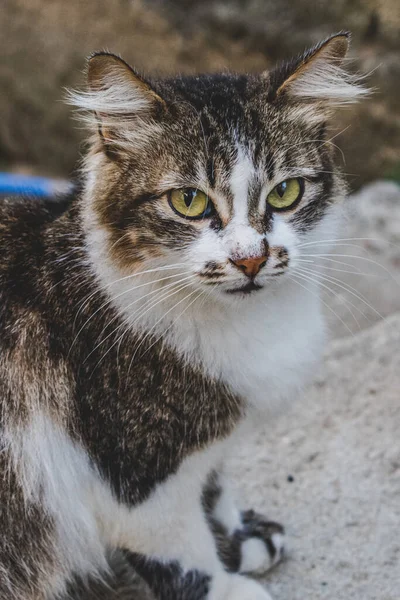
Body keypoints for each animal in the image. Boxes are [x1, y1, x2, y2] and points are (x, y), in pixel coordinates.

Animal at [0, 32, 368, 600]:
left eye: (285, 192)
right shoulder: (137, 472)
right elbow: (179, 547)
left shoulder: (204, 448)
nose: (251, 259)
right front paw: (227, 587)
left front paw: (239, 541)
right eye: (189, 201)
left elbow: (213, 489)